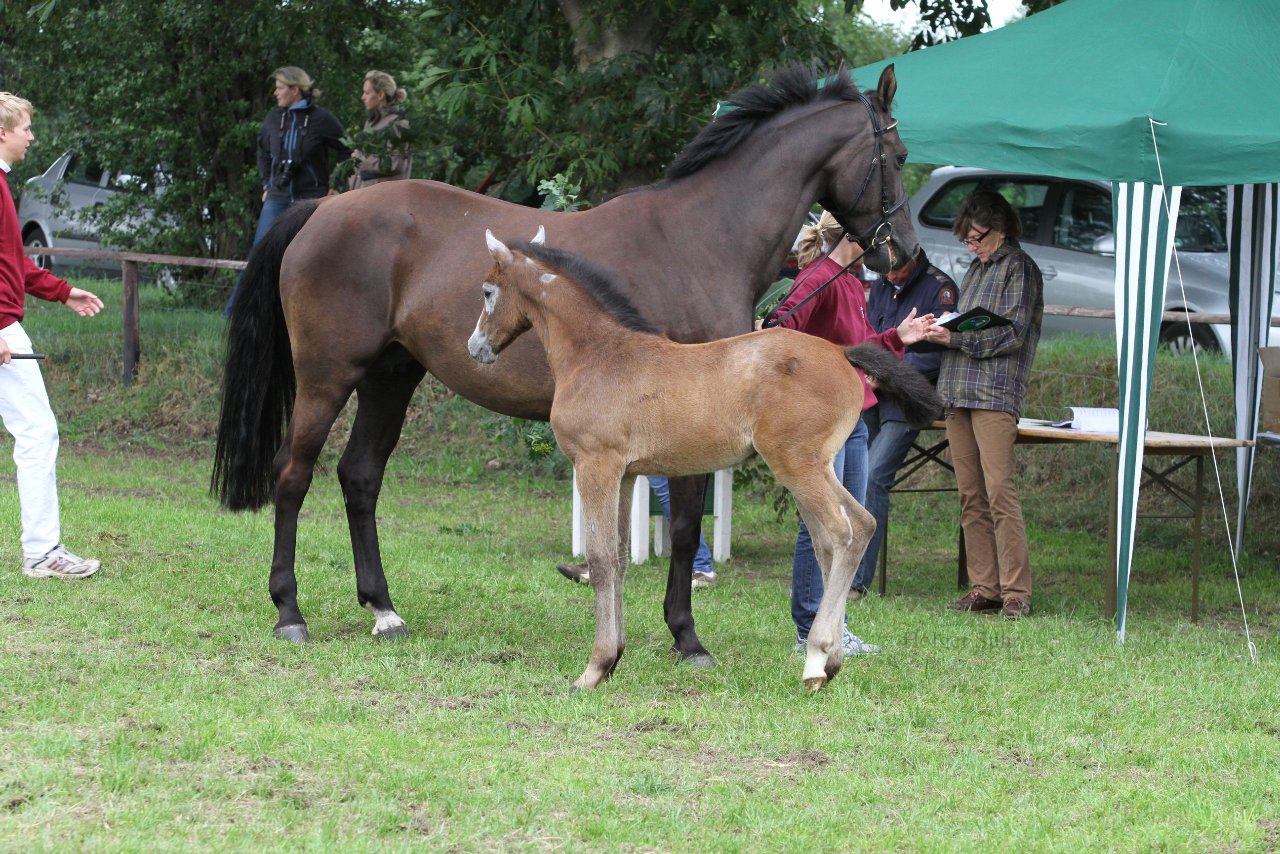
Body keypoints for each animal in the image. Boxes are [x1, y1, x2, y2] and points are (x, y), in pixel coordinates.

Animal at [471, 230, 942, 691]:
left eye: (488, 291)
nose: (476, 346)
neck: (599, 354)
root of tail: (843, 353)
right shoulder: (625, 475)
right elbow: (620, 559)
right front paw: (615, 658)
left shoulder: (595, 465)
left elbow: (601, 561)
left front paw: (595, 669)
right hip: (814, 466)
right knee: (844, 533)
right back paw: (831, 663)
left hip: (796, 464)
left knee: (845, 533)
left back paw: (815, 660)